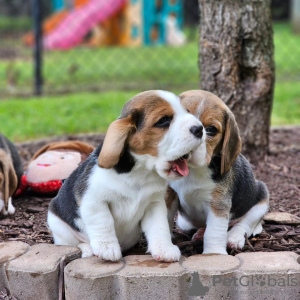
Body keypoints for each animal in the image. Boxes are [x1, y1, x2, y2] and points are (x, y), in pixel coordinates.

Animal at [48, 90, 205, 262]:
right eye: (164, 120)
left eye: (187, 112)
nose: (200, 129)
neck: (140, 172)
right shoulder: (94, 201)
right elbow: (104, 222)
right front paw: (107, 248)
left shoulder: (154, 204)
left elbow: (159, 227)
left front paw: (165, 249)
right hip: (57, 223)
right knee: (72, 243)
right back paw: (88, 249)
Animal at [166, 90, 270, 254]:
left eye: (211, 130)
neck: (192, 170)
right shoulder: (169, 194)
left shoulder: (218, 203)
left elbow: (214, 232)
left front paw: (213, 254)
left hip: (261, 196)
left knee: (245, 224)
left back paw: (234, 237)